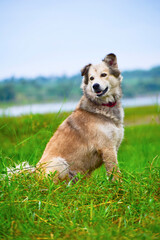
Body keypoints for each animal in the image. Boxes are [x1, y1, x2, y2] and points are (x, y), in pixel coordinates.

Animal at [36, 53, 124, 182]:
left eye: (103, 74)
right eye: (91, 78)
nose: (95, 86)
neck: (102, 106)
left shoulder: (114, 146)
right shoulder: (107, 147)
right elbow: (114, 171)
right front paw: (119, 185)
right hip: (59, 163)